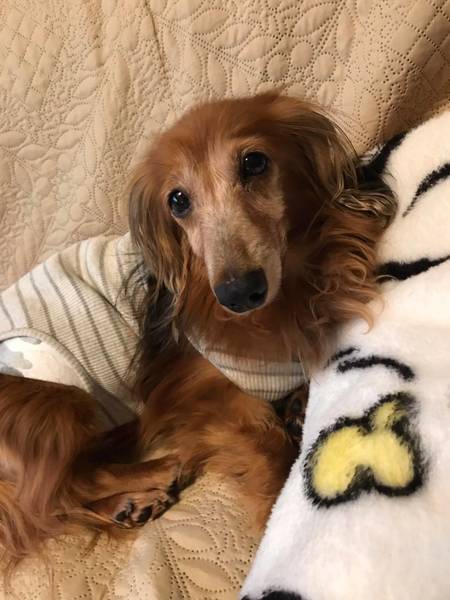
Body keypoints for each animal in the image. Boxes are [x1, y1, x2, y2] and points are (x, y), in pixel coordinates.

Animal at [0, 92, 395, 566]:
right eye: (178, 201)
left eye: (254, 163)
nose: (238, 293)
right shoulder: (199, 394)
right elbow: (266, 440)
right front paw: (276, 512)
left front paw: (299, 404)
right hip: (57, 397)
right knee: (51, 495)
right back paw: (154, 473)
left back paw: (126, 505)